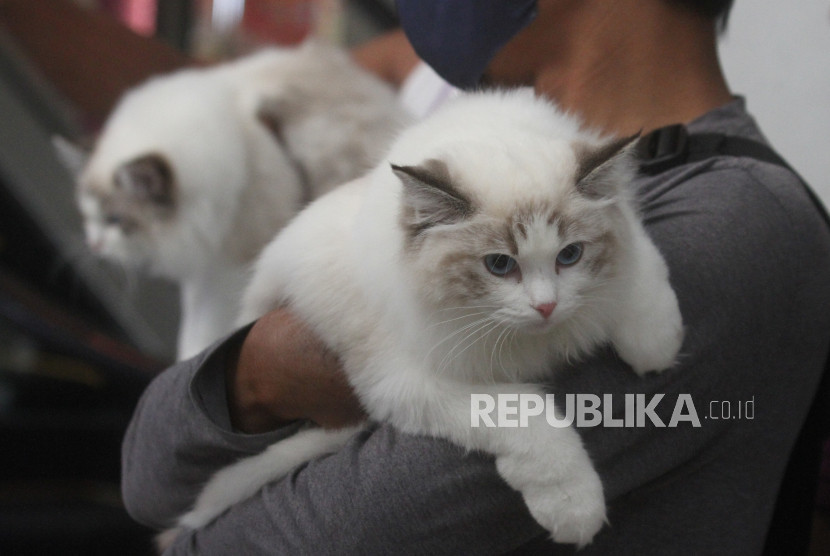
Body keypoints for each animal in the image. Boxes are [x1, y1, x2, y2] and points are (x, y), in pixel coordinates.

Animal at [67, 40, 410, 360]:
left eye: (115, 221)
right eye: (86, 218)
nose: (94, 245)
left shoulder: (232, 264)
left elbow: (208, 327)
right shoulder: (205, 266)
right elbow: (191, 328)